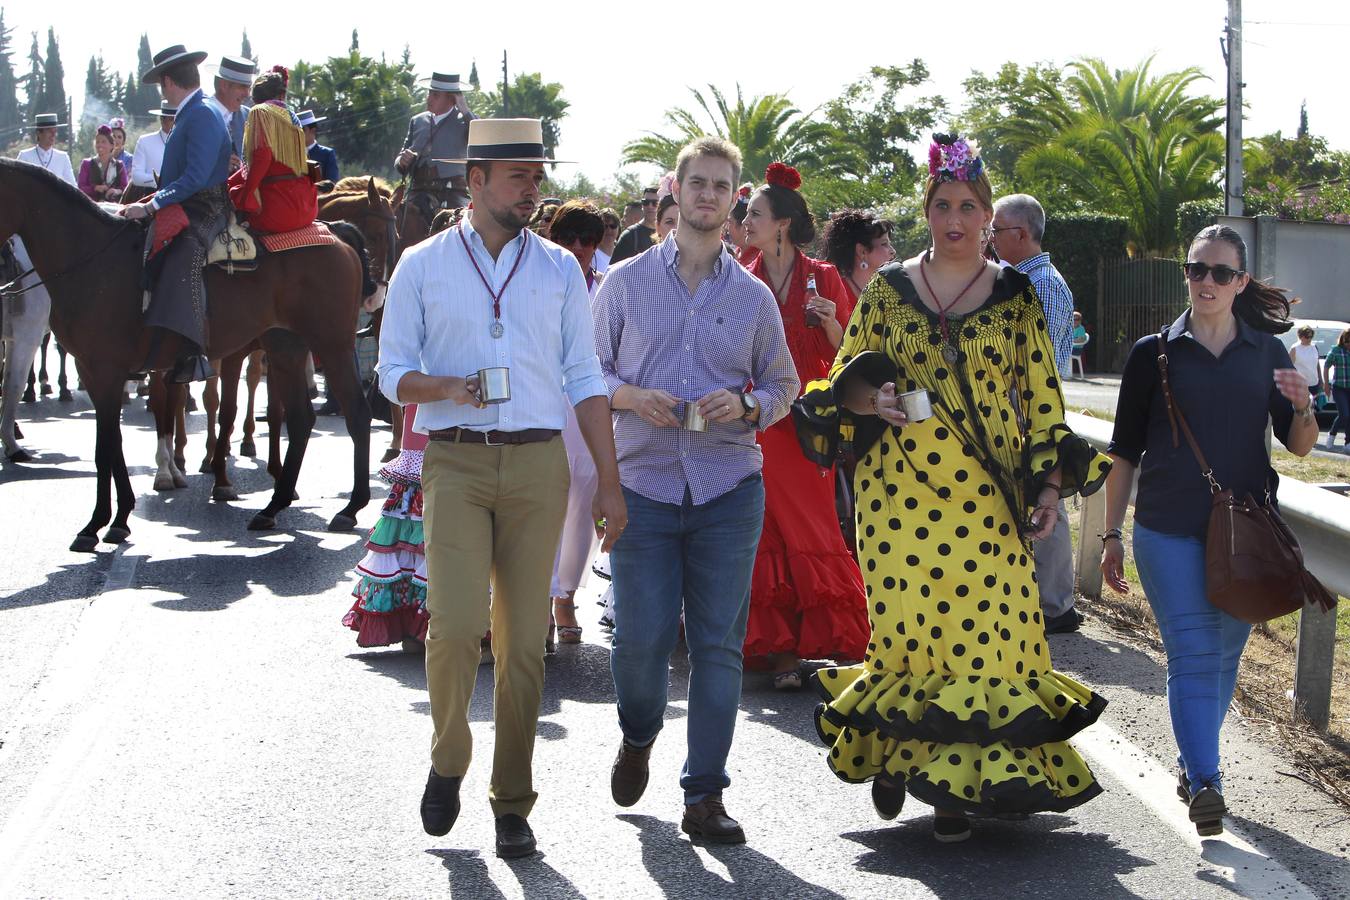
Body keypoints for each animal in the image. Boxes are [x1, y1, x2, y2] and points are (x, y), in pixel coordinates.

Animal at [0, 158, 372, 553]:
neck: (93, 260)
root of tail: (336, 236)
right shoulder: (92, 370)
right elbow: (113, 443)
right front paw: (115, 519)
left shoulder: (106, 370)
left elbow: (106, 446)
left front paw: (101, 523)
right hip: (285, 347)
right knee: (300, 419)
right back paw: (273, 506)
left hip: (332, 343)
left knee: (357, 413)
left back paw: (351, 508)